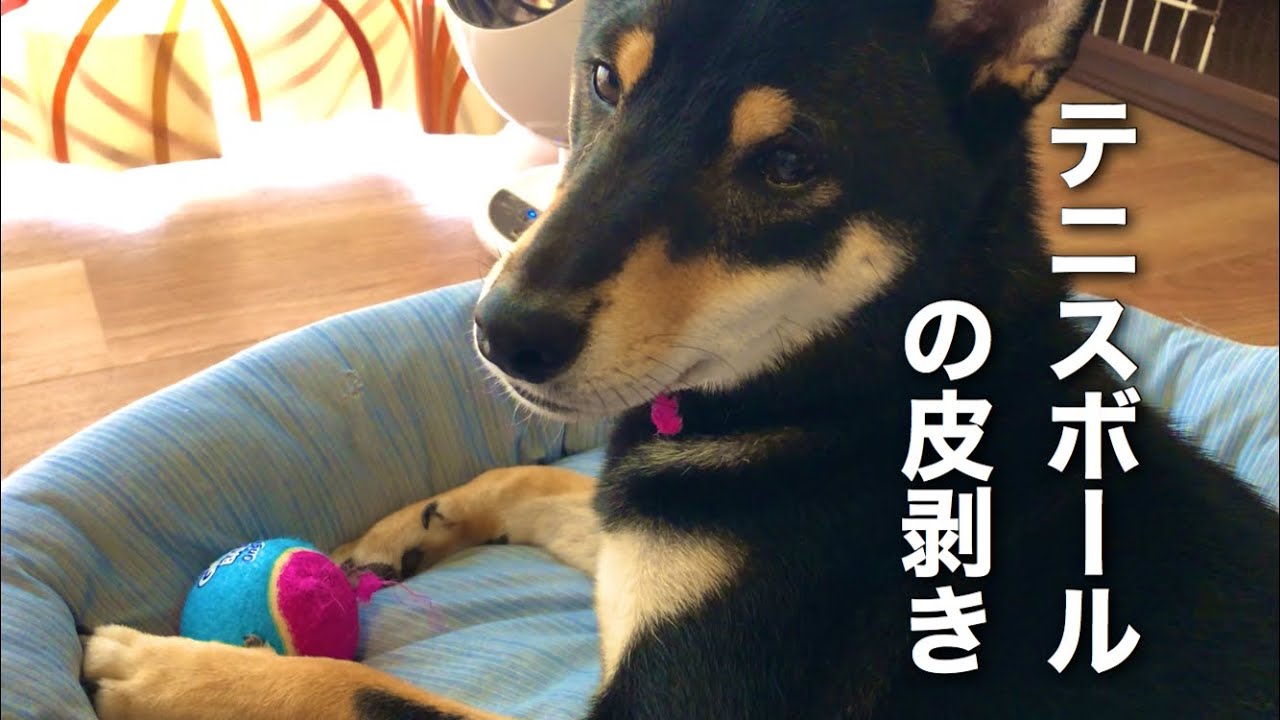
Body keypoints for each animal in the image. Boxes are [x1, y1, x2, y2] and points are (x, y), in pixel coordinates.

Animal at [81, 1, 1279, 718]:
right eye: (605, 81)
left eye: (788, 164)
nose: (500, 330)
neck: (853, 383)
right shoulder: (645, 543)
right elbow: (543, 483)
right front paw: (406, 526)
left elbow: (372, 696)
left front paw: (161, 667)